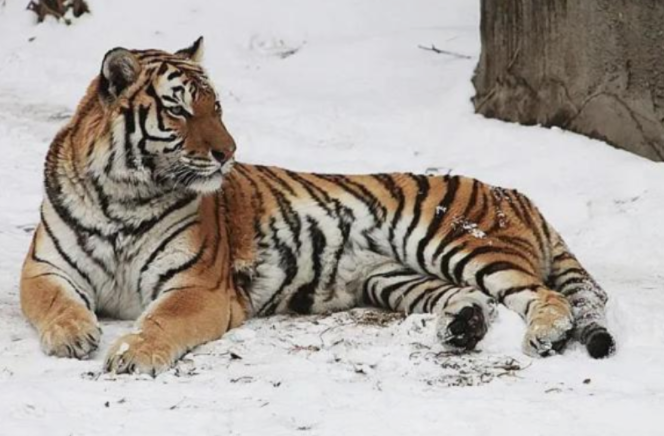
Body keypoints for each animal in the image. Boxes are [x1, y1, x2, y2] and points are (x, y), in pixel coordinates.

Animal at [18, 39, 616, 376]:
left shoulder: (198, 286)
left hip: (456, 240)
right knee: (478, 301)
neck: (123, 193)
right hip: (393, 275)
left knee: (545, 295)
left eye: (217, 108)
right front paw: (74, 335)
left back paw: (543, 333)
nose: (229, 151)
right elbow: (52, 303)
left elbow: (160, 320)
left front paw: (132, 353)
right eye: (179, 110)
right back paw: (462, 327)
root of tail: (517, 194)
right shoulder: (43, 268)